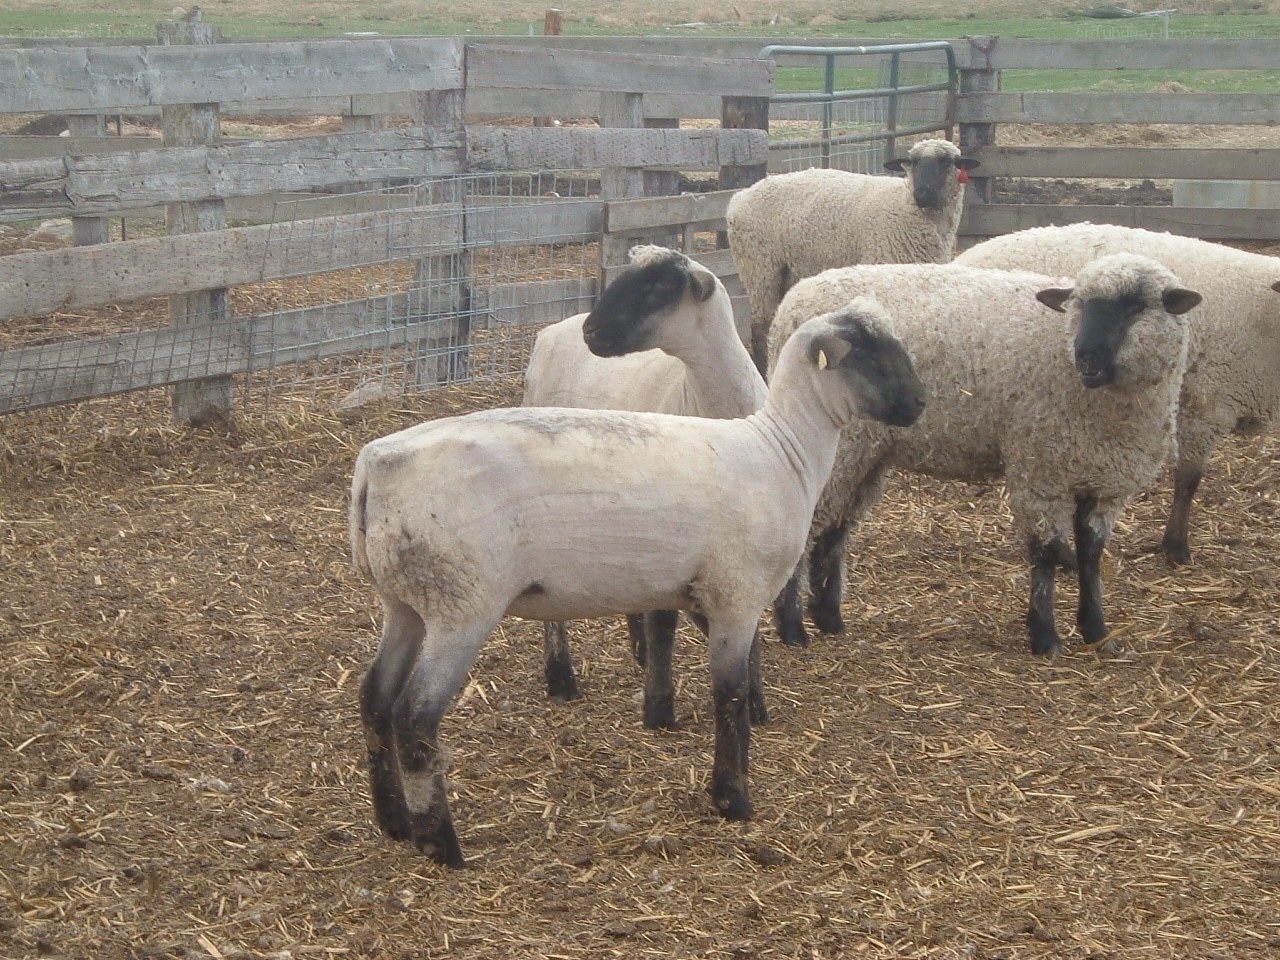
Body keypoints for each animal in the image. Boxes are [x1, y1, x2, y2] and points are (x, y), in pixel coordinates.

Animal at [350, 300, 925, 864]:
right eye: (871, 358)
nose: (920, 405)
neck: (783, 453)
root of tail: (375, 468)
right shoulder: (735, 596)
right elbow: (729, 696)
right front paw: (732, 798)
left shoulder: (702, 594)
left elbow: (736, 687)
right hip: (460, 604)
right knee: (415, 716)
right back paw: (440, 845)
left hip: (405, 604)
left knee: (375, 698)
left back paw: (394, 822)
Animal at [522, 246, 767, 729]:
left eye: (659, 287)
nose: (591, 331)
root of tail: (552, 330)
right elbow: (665, 622)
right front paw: (660, 709)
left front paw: (756, 701)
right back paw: (561, 677)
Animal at [726, 138, 978, 372]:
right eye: (913, 162)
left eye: (946, 162)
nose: (922, 194)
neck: (905, 206)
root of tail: (738, 198)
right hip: (759, 265)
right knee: (759, 324)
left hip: (785, 270)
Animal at [767, 255, 1200, 656]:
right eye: (1079, 303)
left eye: (1136, 307)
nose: (1086, 357)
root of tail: (794, 299)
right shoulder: (1040, 469)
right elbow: (1046, 553)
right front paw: (1045, 636)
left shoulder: (1107, 482)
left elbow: (1091, 555)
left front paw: (1096, 629)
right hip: (843, 448)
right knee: (809, 527)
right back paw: (792, 627)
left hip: (866, 454)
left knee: (835, 530)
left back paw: (829, 618)